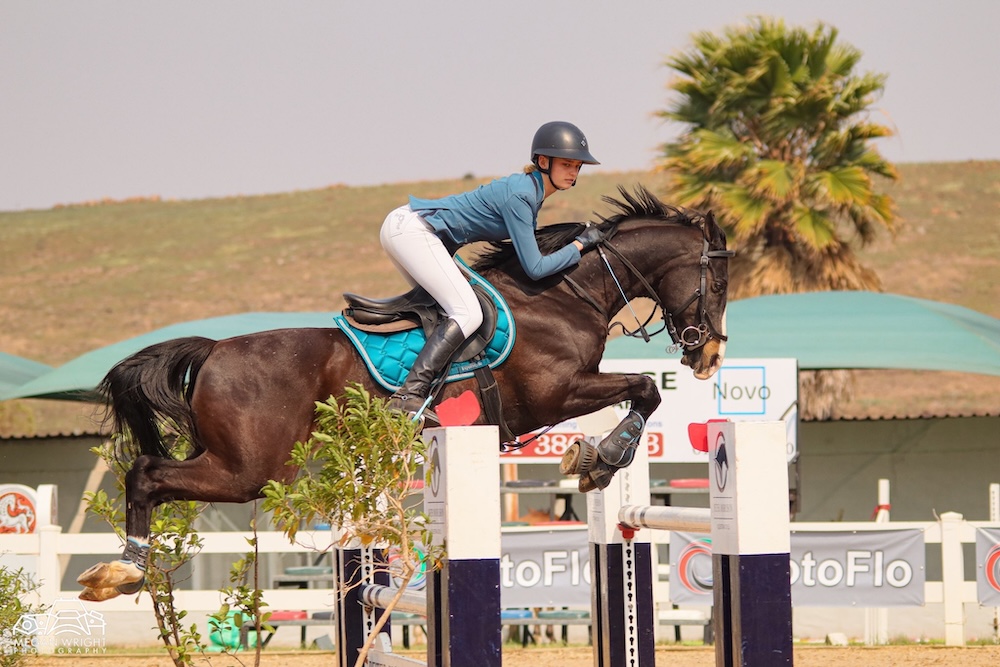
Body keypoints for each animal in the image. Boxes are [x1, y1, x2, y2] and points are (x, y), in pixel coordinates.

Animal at [76, 185, 734, 601]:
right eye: (721, 280)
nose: (709, 357)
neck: (564, 295)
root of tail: (214, 349)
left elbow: (639, 391)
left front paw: (594, 457)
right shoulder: (556, 393)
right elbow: (643, 388)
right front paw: (602, 459)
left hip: (229, 458)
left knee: (152, 474)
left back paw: (123, 571)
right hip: (252, 470)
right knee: (146, 474)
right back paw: (123, 573)